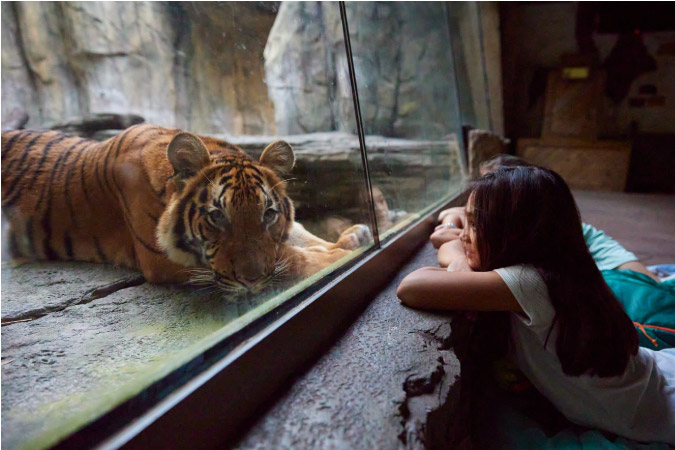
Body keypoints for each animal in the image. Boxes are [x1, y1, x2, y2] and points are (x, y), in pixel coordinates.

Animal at [0, 125, 370, 298]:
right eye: (217, 217)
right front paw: (339, 257)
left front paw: (352, 236)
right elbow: (292, 257)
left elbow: (298, 238)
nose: (251, 282)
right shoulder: (166, 259)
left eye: (268, 214)